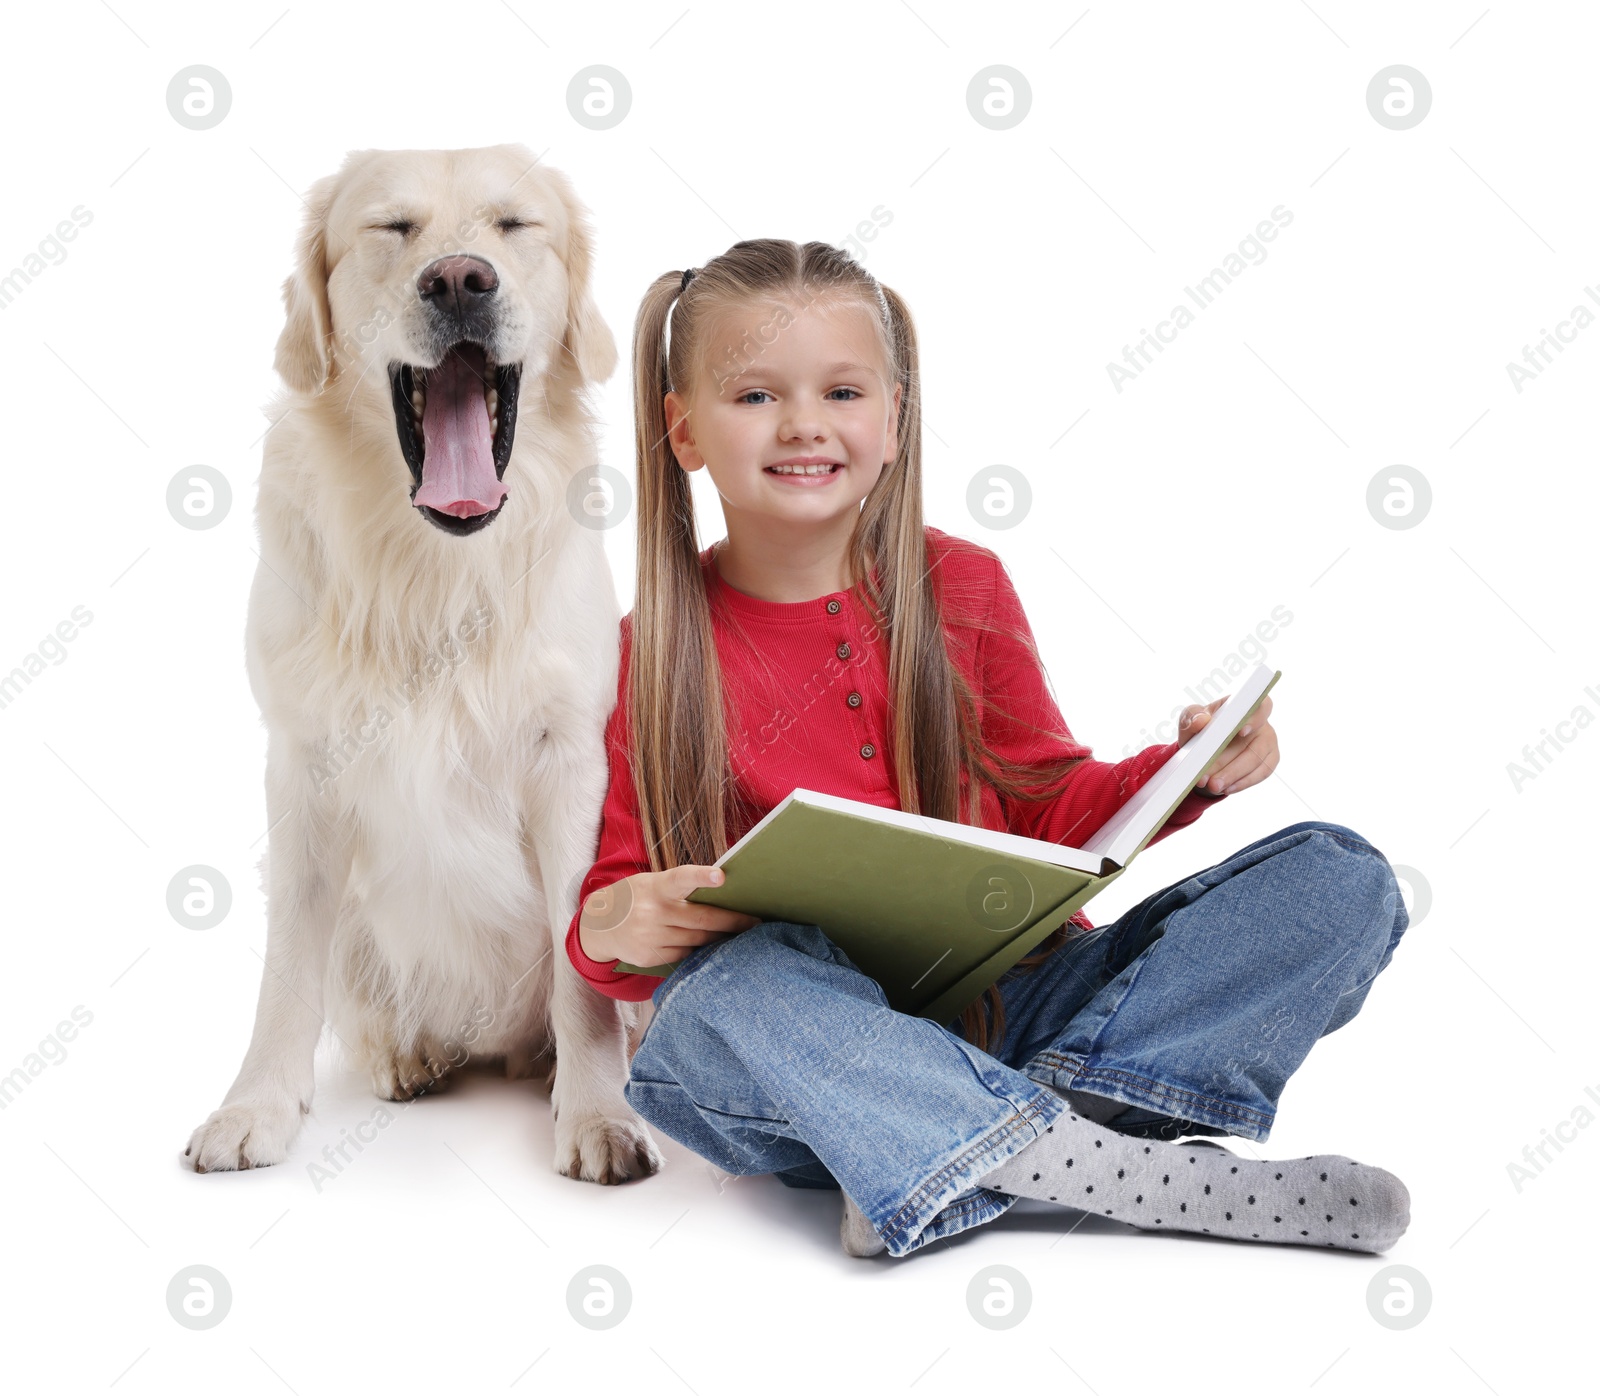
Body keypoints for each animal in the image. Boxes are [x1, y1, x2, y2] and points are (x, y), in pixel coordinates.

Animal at [183, 144, 662, 1191]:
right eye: (393, 229)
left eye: (514, 226)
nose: (458, 280)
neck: (434, 568)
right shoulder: (301, 764)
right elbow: (287, 969)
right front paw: (256, 1106)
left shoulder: (570, 761)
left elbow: (582, 973)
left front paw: (600, 1114)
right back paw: (410, 1055)